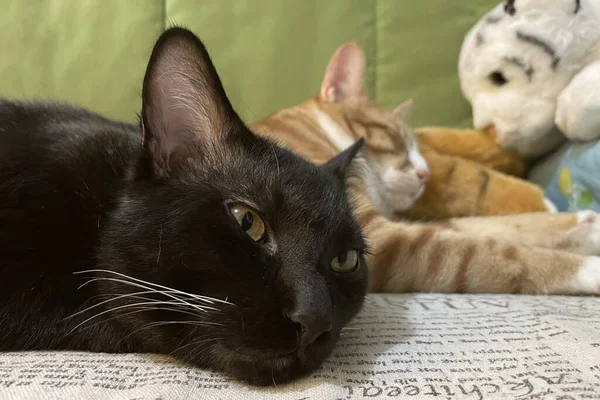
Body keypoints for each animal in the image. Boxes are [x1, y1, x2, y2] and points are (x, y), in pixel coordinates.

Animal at [252, 42, 600, 296]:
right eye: (396, 138)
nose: (426, 174)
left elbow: (493, 227)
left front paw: (588, 227)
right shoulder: (388, 240)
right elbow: (500, 253)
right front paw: (590, 267)